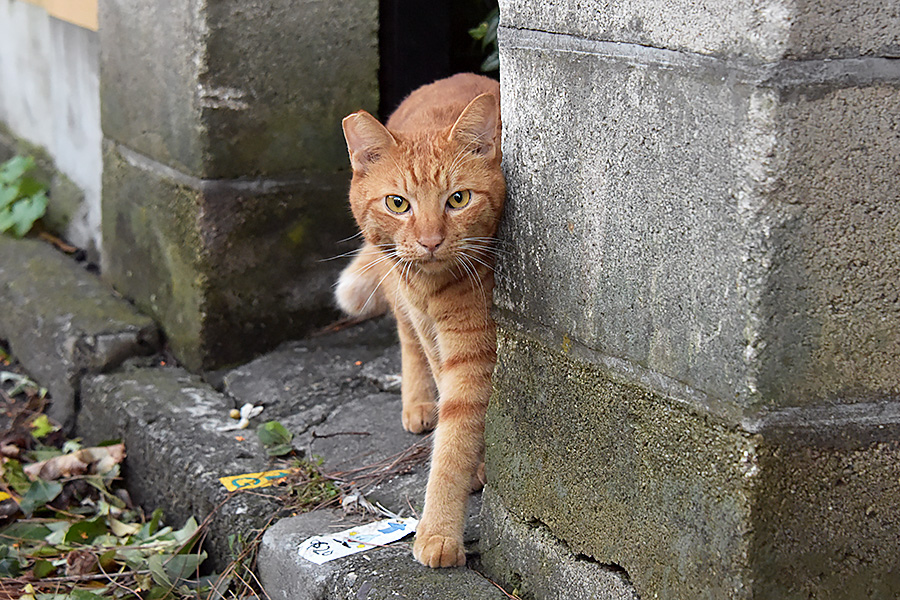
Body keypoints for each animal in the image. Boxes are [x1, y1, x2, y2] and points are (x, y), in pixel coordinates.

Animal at [338, 75, 506, 568]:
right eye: (398, 204)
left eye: (458, 199)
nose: (431, 241)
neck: (435, 291)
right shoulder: (437, 337)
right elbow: (455, 427)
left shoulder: (474, 351)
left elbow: (457, 436)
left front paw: (438, 529)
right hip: (395, 285)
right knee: (406, 337)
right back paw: (416, 403)